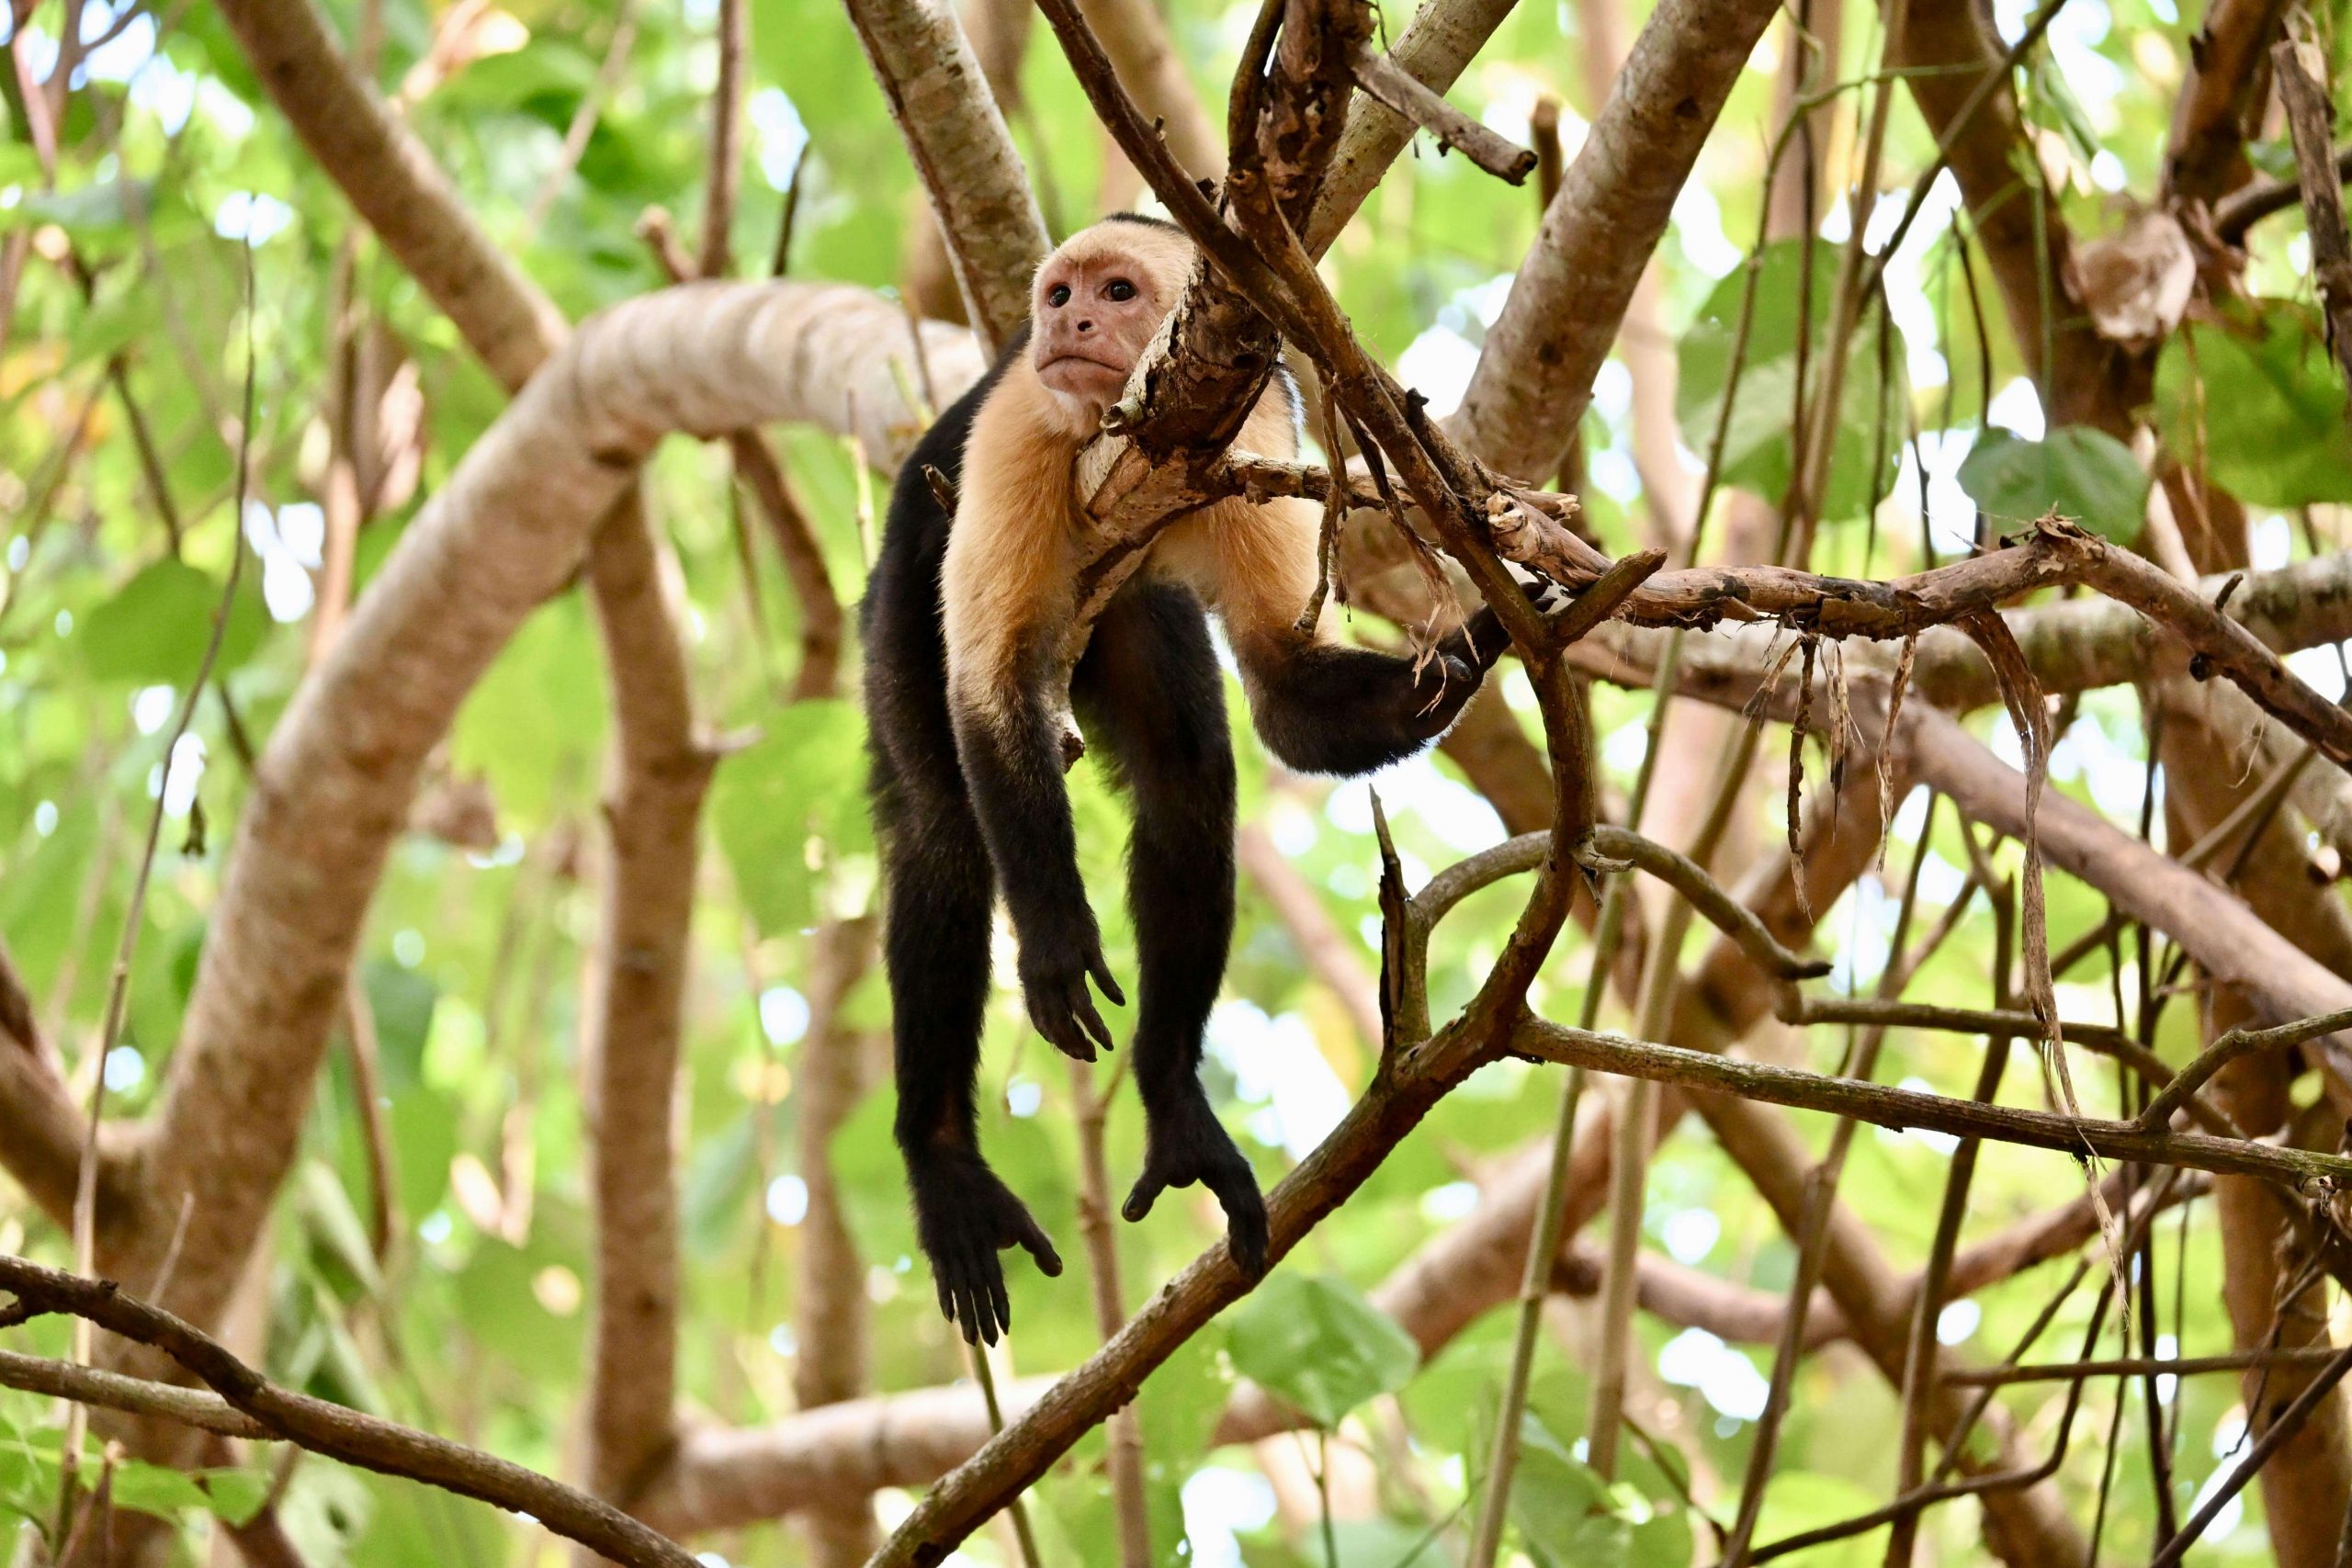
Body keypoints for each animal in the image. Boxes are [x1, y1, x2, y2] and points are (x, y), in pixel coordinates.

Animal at [862, 214, 1519, 1344]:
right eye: (1057, 296)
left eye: (1117, 292)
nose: (1070, 325)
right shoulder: (1021, 423)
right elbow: (990, 690)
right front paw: (1056, 940)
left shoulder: (1259, 433)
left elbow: (1287, 700)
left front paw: (1505, 630)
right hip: (900, 581)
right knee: (943, 827)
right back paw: (943, 1159)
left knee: (1188, 785)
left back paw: (1172, 1103)